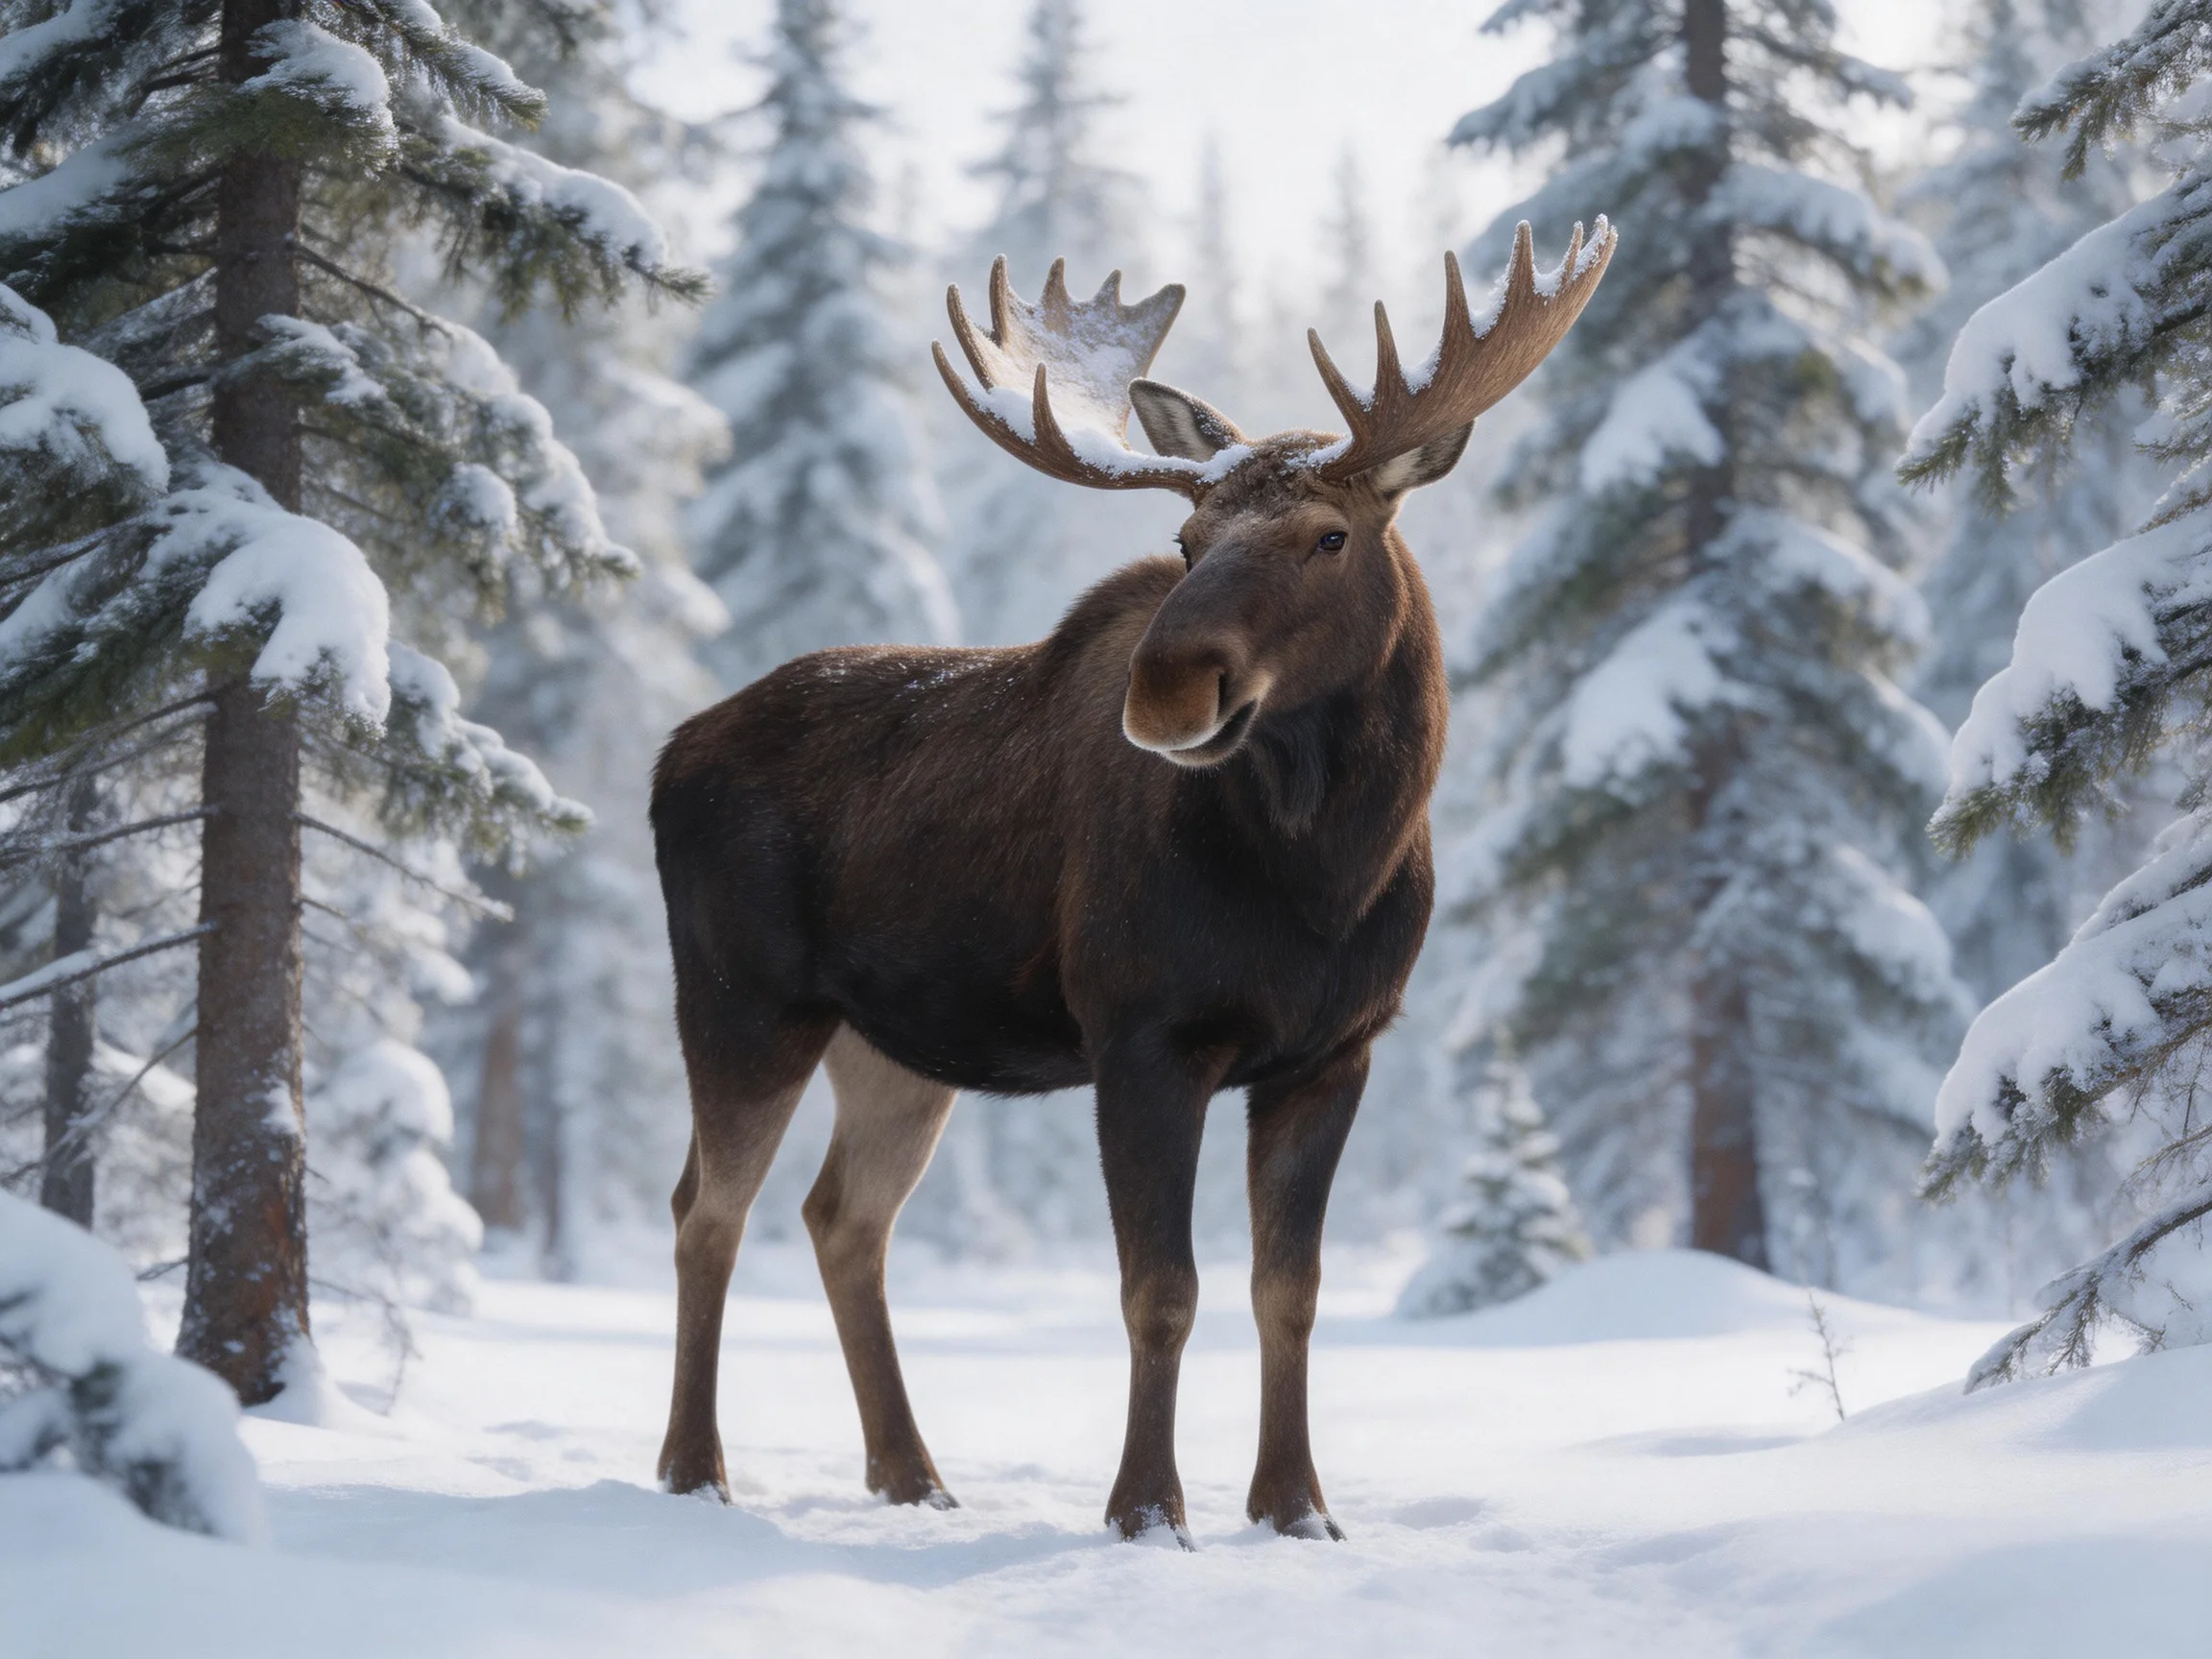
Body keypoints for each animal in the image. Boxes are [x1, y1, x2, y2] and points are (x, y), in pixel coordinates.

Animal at [649, 218, 1615, 1543]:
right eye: (1186, 543)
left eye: (1330, 535)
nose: (1164, 688)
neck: (1324, 877)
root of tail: (666, 758)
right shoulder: (1143, 1034)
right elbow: (1162, 1289)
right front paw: (1148, 1511)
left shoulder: (1335, 1051)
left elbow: (1289, 1291)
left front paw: (1297, 1509)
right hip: (743, 1001)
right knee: (708, 1213)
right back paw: (695, 1470)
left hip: (893, 1047)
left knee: (842, 1217)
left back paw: (914, 1476)